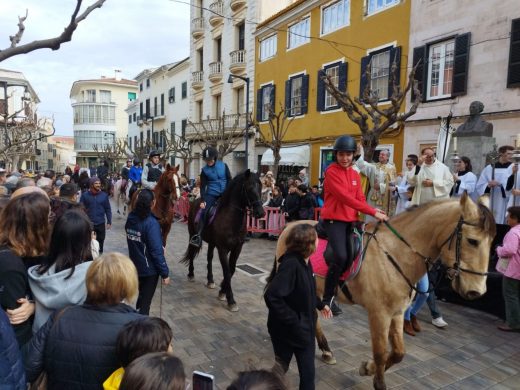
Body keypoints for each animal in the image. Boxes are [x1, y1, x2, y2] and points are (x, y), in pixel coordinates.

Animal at [181, 169, 266, 312]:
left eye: (260, 186)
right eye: (249, 188)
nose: (261, 213)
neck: (232, 219)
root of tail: (196, 200)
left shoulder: (237, 248)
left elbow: (231, 269)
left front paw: (222, 291)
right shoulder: (223, 249)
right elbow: (226, 271)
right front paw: (231, 300)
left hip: (211, 242)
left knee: (209, 258)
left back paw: (210, 280)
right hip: (192, 234)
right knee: (192, 253)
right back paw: (191, 274)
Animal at [274, 195, 494, 390]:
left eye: (492, 242)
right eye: (472, 241)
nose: (477, 291)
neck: (396, 253)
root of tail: (291, 225)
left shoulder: (396, 312)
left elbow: (398, 352)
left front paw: (368, 368)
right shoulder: (379, 314)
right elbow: (380, 351)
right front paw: (377, 380)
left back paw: (327, 351)